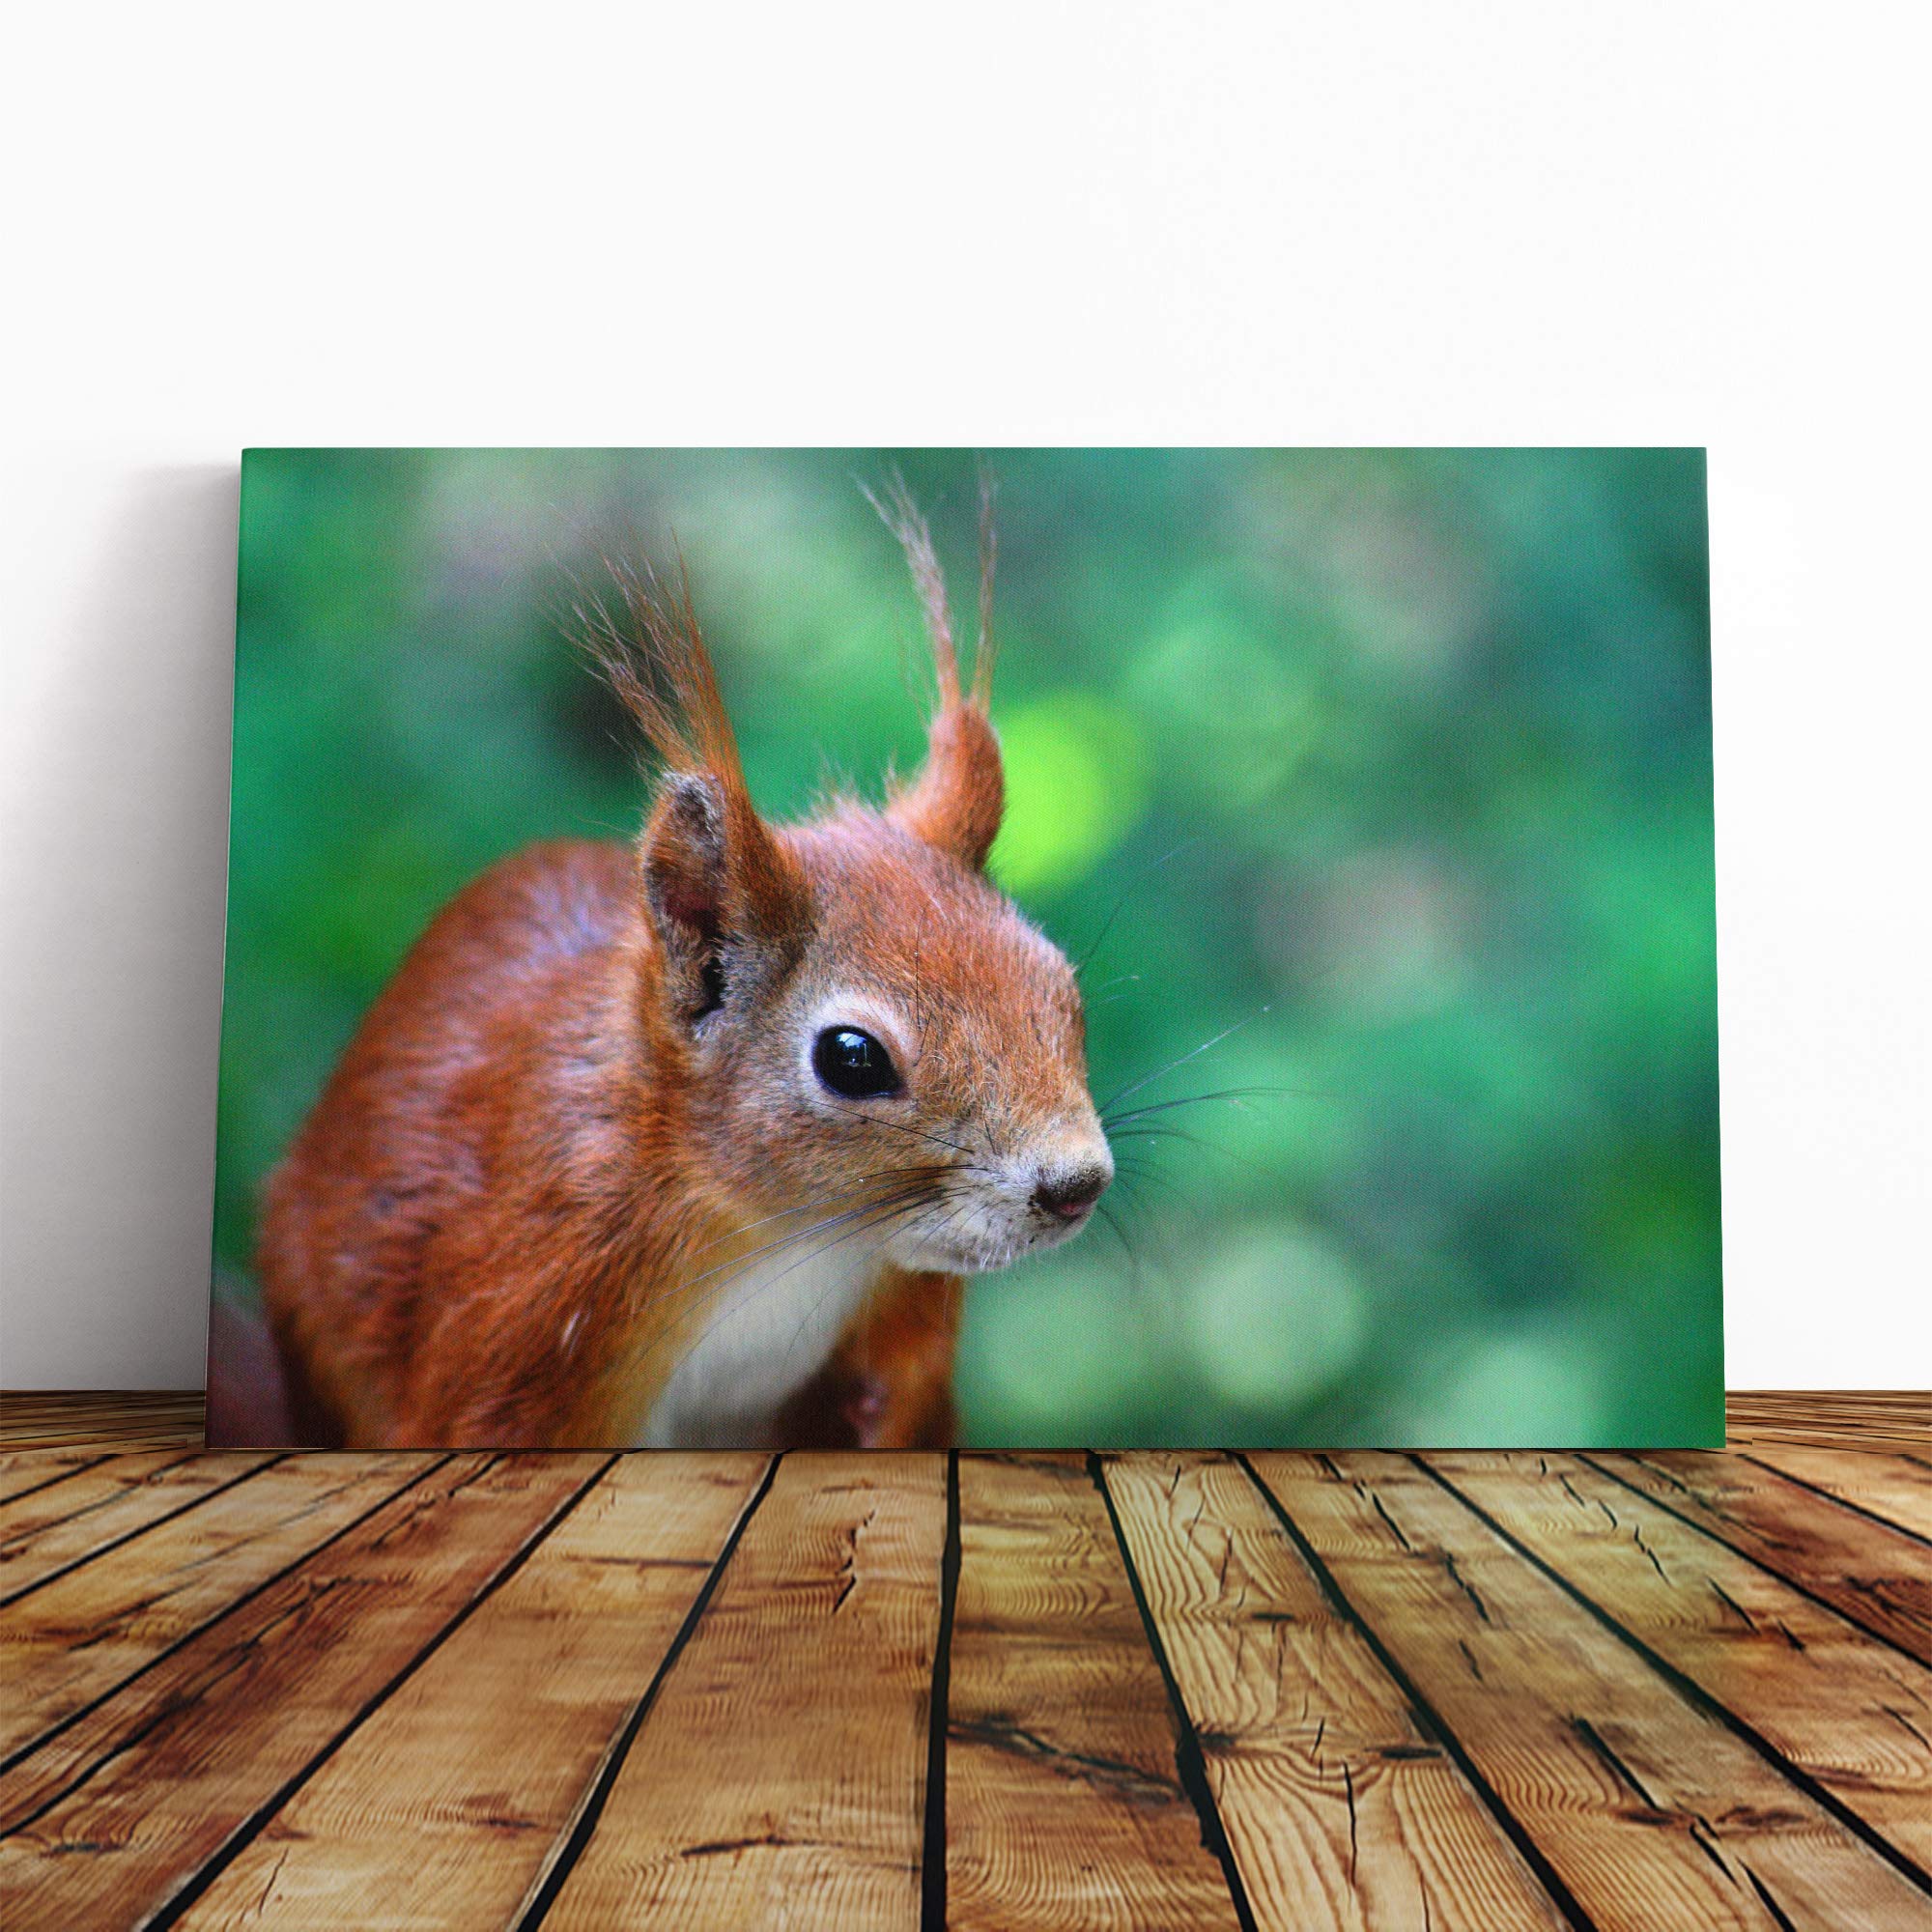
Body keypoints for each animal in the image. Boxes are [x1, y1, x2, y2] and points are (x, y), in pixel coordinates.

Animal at [250, 489, 1113, 1449]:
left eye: (1062, 988)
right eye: (852, 1058)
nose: (1077, 1184)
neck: (790, 1242)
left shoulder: (903, 1320)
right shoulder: (527, 1297)